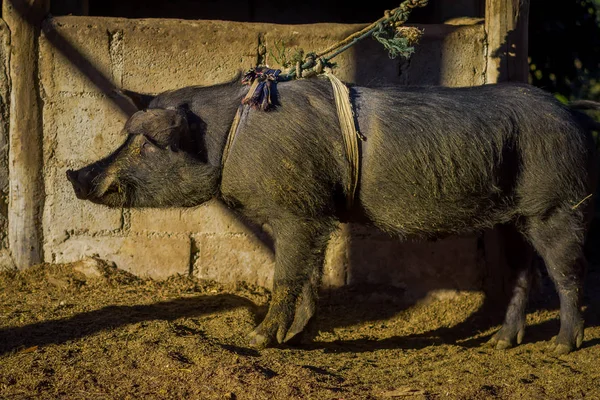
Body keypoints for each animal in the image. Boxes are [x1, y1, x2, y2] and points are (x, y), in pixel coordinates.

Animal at [67, 76, 596, 354]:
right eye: (128, 137)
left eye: (145, 143)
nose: (74, 174)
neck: (229, 141)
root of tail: (574, 117)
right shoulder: (315, 213)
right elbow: (308, 279)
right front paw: (298, 337)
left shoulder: (297, 212)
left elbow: (285, 276)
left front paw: (255, 339)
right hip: (513, 219)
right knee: (526, 274)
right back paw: (501, 344)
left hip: (556, 206)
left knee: (568, 274)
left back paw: (562, 346)